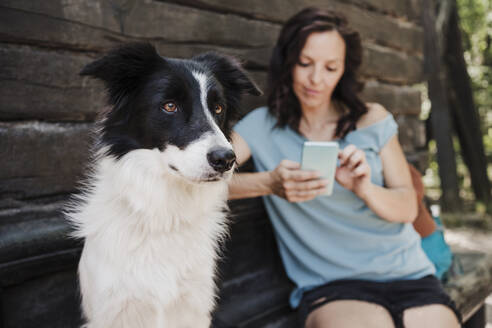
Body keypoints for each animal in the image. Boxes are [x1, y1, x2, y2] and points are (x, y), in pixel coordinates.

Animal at [67, 43, 264, 328]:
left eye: (218, 108)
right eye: (170, 106)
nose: (226, 159)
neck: (165, 214)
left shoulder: (193, 307)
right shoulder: (113, 310)